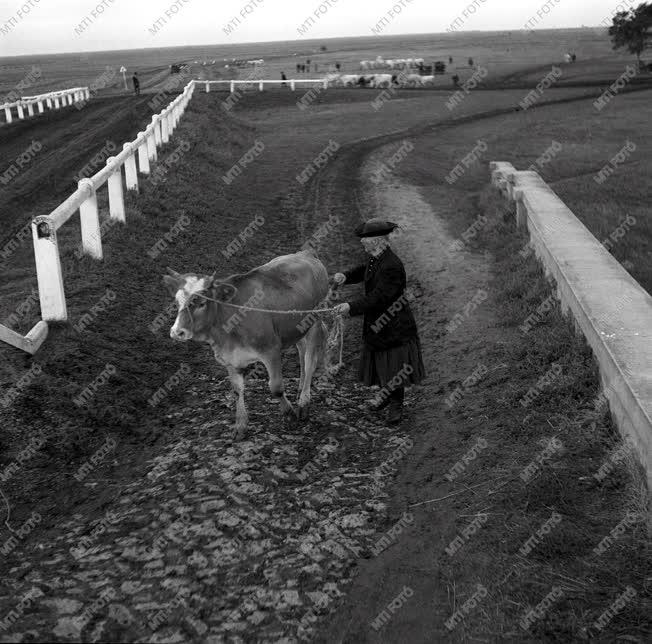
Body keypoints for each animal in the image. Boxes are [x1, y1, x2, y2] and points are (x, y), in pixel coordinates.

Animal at [164, 250, 332, 438]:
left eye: (202, 303)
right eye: (177, 302)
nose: (177, 332)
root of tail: (305, 253)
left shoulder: (270, 350)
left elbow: (276, 387)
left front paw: (289, 414)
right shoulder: (229, 358)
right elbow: (237, 390)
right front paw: (241, 425)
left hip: (315, 320)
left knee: (310, 359)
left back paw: (304, 402)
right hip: (298, 327)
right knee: (302, 351)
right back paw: (300, 389)